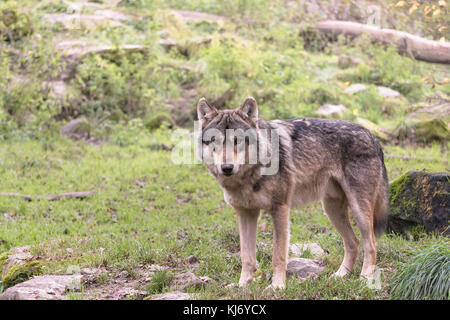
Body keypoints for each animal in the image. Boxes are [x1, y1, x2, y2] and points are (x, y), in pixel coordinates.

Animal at [198, 97, 390, 290]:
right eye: (214, 141)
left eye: (237, 140)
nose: (227, 168)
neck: (248, 178)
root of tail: (373, 136)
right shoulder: (245, 213)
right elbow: (247, 256)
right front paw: (243, 285)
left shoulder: (280, 209)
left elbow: (278, 254)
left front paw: (277, 286)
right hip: (332, 210)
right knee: (353, 242)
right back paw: (340, 275)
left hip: (358, 210)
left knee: (371, 244)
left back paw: (364, 279)